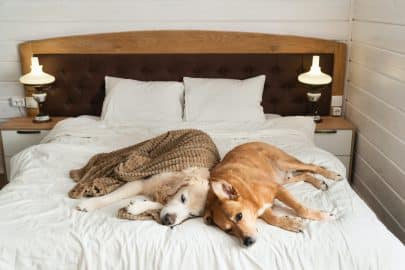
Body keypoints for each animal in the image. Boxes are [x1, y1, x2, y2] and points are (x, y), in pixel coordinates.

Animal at [202, 141, 340, 247]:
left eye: (239, 216)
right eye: (228, 230)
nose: (248, 242)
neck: (247, 193)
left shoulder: (277, 189)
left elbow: (301, 210)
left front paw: (324, 216)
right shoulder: (264, 206)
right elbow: (272, 219)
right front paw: (291, 223)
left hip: (284, 163)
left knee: (311, 166)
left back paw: (332, 175)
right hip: (283, 179)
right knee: (305, 174)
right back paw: (319, 182)